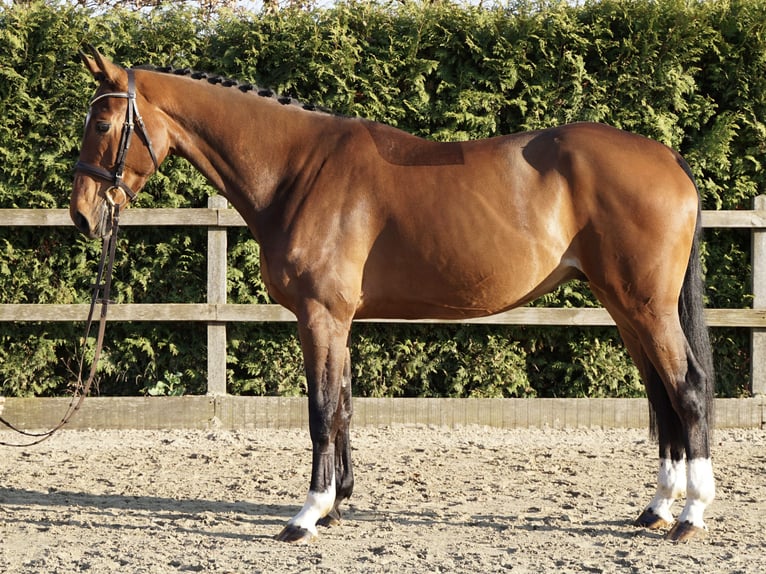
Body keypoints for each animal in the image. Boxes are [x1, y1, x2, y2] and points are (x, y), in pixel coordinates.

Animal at [71, 46, 715, 544]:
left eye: (102, 125)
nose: (81, 215)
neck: (298, 171)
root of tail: (667, 157)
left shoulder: (321, 316)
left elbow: (321, 410)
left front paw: (306, 515)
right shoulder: (337, 320)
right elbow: (343, 406)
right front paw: (336, 504)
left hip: (647, 308)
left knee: (687, 389)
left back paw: (691, 512)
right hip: (625, 307)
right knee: (661, 396)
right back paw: (657, 508)